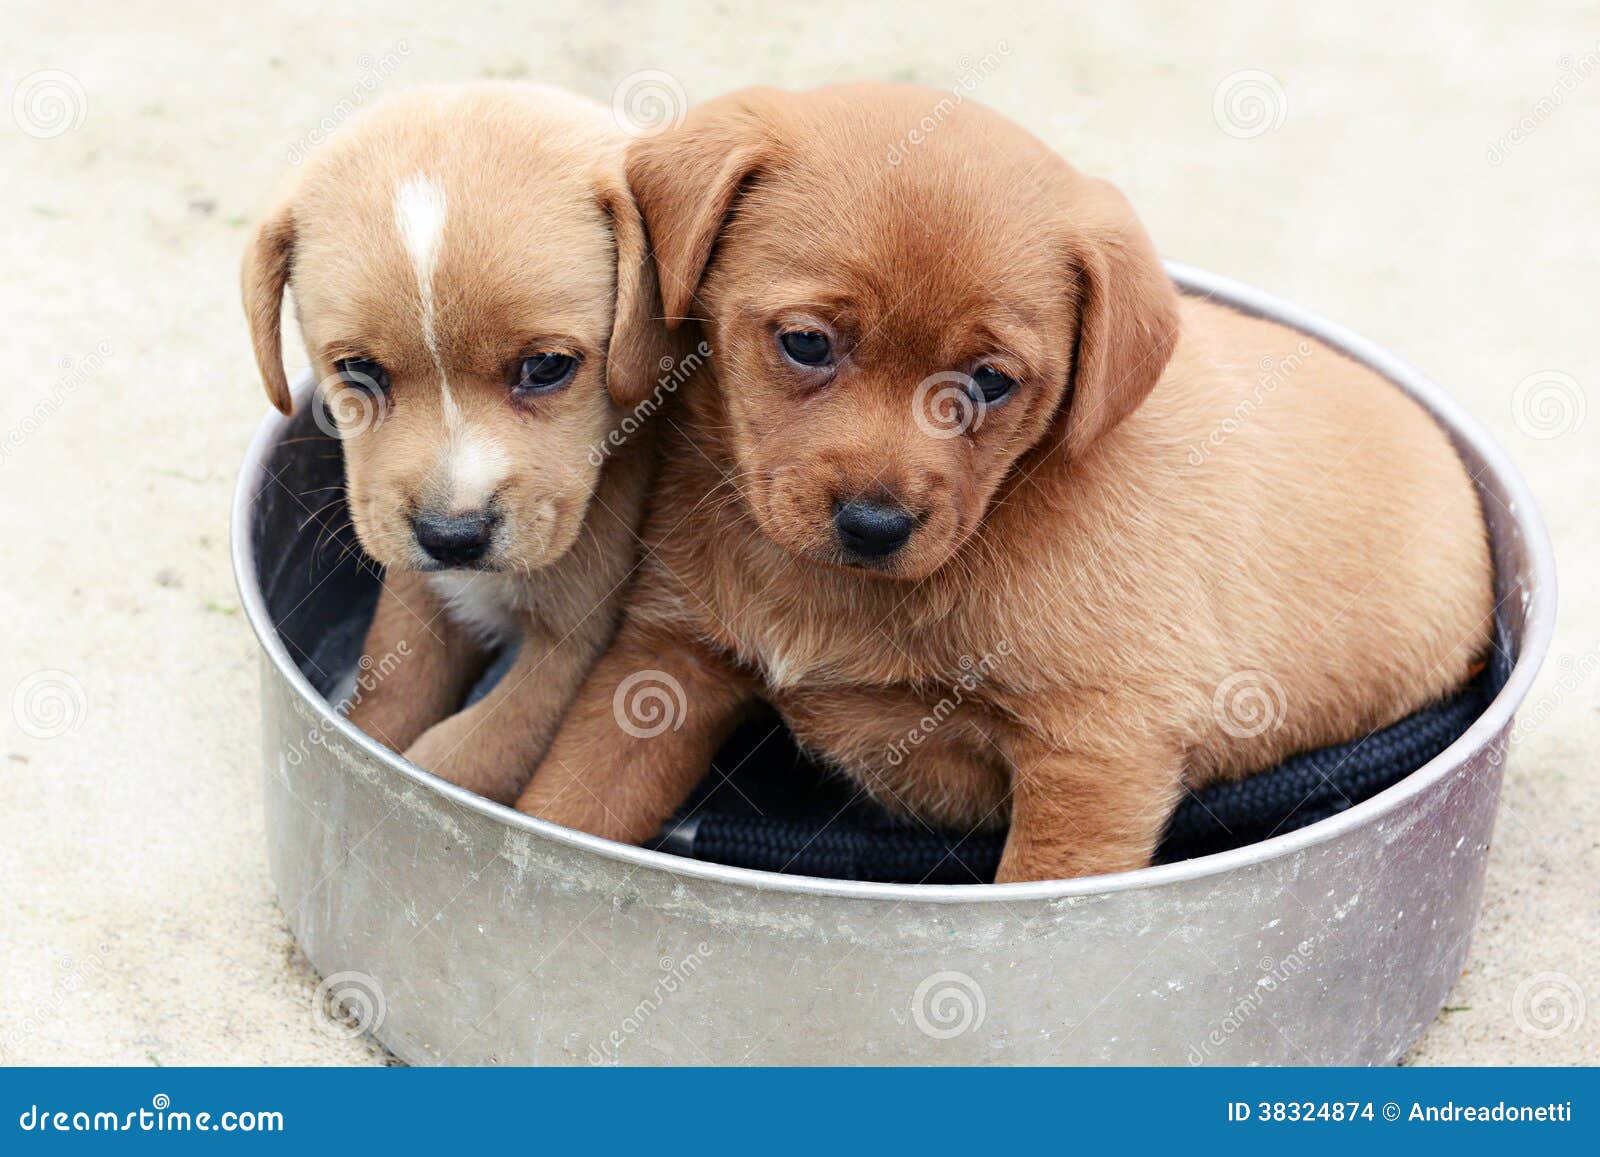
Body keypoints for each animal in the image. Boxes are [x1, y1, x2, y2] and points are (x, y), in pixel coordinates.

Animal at [240, 83, 665, 806]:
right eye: (357, 370)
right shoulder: (423, 595)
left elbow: (460, 760)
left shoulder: (570, 653)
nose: (452, 537)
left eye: (547, 366)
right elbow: (389, 700)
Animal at [515, 86, 1497, 883]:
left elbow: (1046, 886)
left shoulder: (1097, 753)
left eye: (989, 381)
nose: (874, 524)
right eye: (805, 343)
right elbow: (567, 804)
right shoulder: (662, 665)